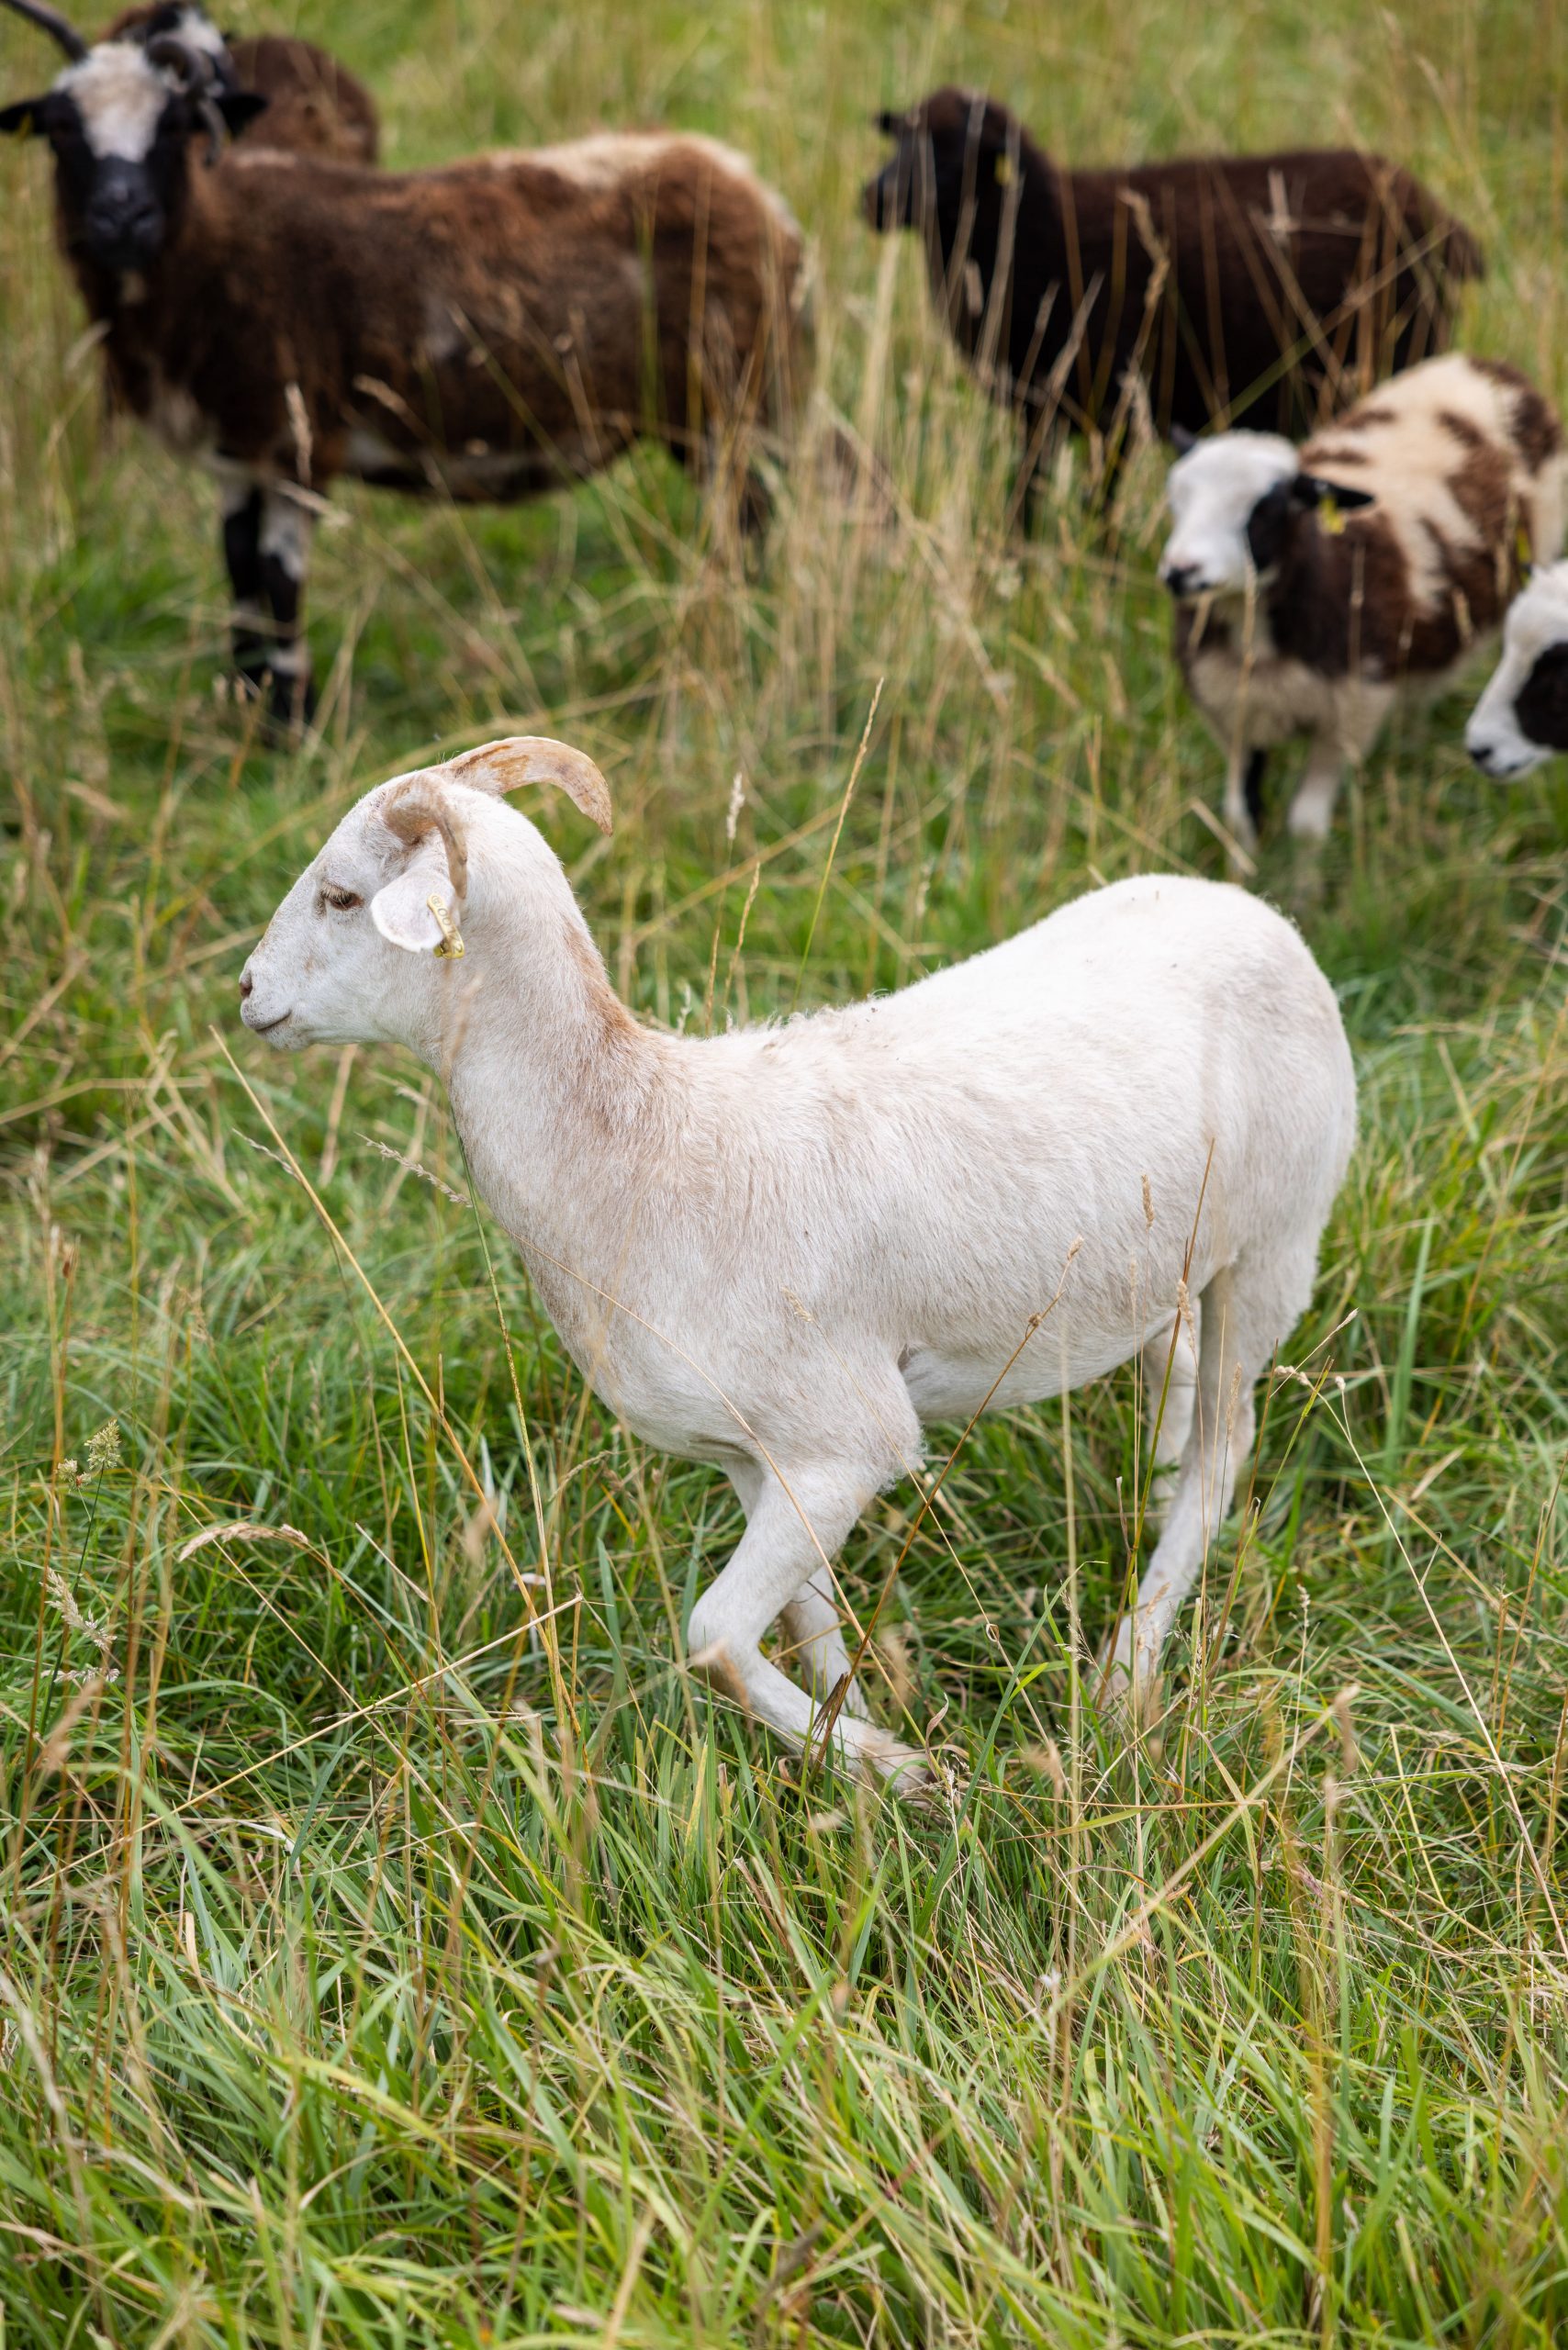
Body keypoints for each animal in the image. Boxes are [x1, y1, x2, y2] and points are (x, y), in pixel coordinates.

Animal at [3, 11, 808, 723]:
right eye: (62, 129)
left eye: (174, 126)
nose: (120, 220)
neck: (214, 242)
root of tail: (751, 187)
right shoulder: (240, 450)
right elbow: (238, 571)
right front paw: (248, 703)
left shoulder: (300, 444)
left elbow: (279, 582)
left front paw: (291, 727)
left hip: (739, 406)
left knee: (752, 523)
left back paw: (746, 632)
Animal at [240, 742, 1353, 1785]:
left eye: (342, 895)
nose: (247, 992)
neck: (637, 1145)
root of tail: (1253, 910)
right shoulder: (759, 1458)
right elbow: (802, 1624)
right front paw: (860, 1740)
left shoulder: (847, 1441)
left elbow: (712, 1636)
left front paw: (906, 1773)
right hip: (1162, 1262)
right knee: (1176, 1382)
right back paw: (1144, 1518)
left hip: (1276, 1247)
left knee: (1224, 1449)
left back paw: (1129, 1666)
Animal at [1160, 352, 1561, 850]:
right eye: (1176, 502)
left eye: (1267, 509)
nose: (1180, 572)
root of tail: (1485, 365)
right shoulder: (1232, 713)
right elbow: (1240, 816)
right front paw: (1243, 869)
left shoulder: (1351, 713)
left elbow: (1306, 827)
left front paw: (1304, 875)